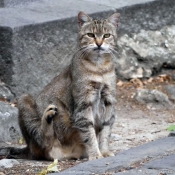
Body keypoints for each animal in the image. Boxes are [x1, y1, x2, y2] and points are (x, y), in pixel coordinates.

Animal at [0, 11, 120, 161]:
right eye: (90, 35)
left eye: (107, 35)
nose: (99, 43)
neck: (99, 68)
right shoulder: (83, 104)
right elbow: (89, 133)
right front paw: (95, 154)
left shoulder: (109, 101)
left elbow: (105, 130)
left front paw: (104, 151)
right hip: (25, 99)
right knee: (43, 140)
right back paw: (47, 117)